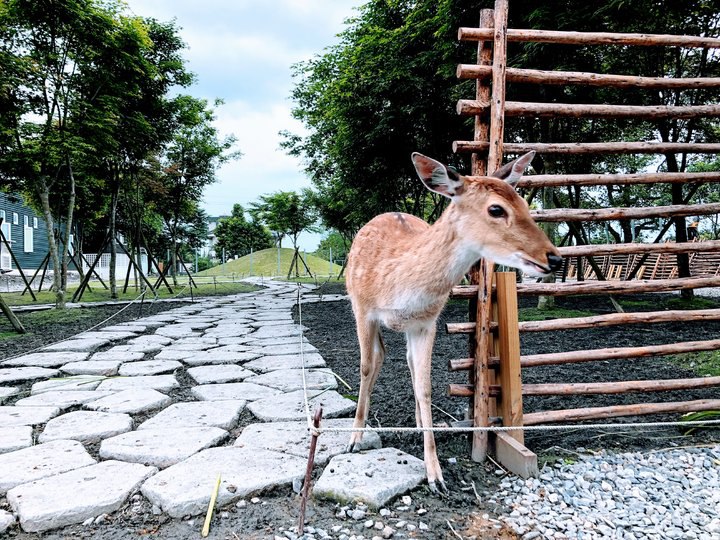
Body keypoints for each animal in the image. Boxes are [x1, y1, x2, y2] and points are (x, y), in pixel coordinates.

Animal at [344, 151, 562, 494]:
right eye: (496, 209)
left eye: (525, 204)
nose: (554, 258)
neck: (399, 286)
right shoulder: (363, 308)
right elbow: (365, 367)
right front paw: (354, 439)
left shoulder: (426, 322)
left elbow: (425, 386)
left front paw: (435, 474)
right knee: (378, 357)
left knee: (407, 362)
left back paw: (419, 422)